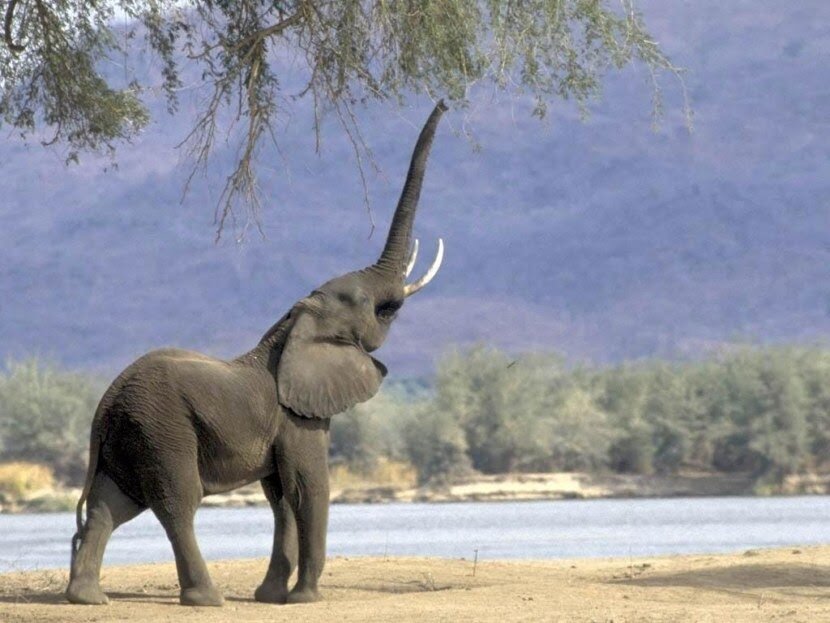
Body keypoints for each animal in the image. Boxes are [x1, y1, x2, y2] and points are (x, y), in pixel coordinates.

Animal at [65, 101, 448, 607]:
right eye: (370, 305)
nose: (445, 103)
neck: (292, 326)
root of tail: (104, 405)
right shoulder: (298, 415)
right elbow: (307, 488)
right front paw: (306, 599)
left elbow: (281, 495)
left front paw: (271, 597)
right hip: (160, 427)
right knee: (176, 502)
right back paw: (206, 599)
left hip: (128, 435)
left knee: (111, 504)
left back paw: (86, 598)